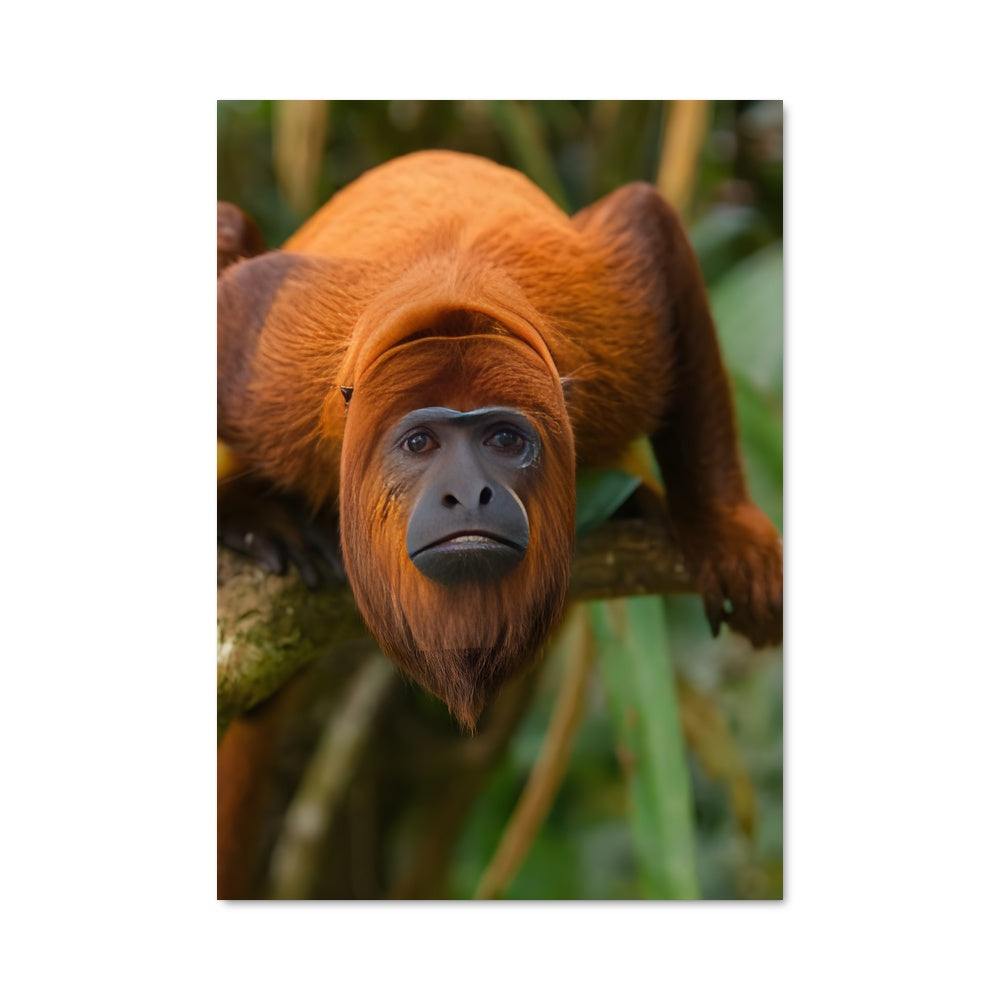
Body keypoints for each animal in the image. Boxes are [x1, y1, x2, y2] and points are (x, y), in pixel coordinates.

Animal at [218, 150, 782, 732]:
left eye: (505, 439)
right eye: (419, 443)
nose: (468, 495)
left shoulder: (618, 333)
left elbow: (648, 222)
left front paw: (727, 533)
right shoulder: (274, 372)